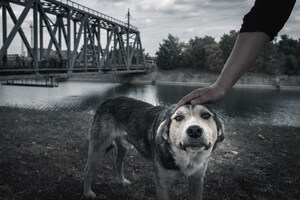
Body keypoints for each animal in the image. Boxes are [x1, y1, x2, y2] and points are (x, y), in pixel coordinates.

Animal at [83, 96, 224, 199]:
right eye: (178, 118)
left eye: (206, 115)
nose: (194, 130)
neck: (187, 157)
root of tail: (107, 100)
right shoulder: (161, 182)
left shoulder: (197, 180)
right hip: (98, 148)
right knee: (87, 170)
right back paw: (87, 192)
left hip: (124, 147)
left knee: (118, 163)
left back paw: (121, 181)